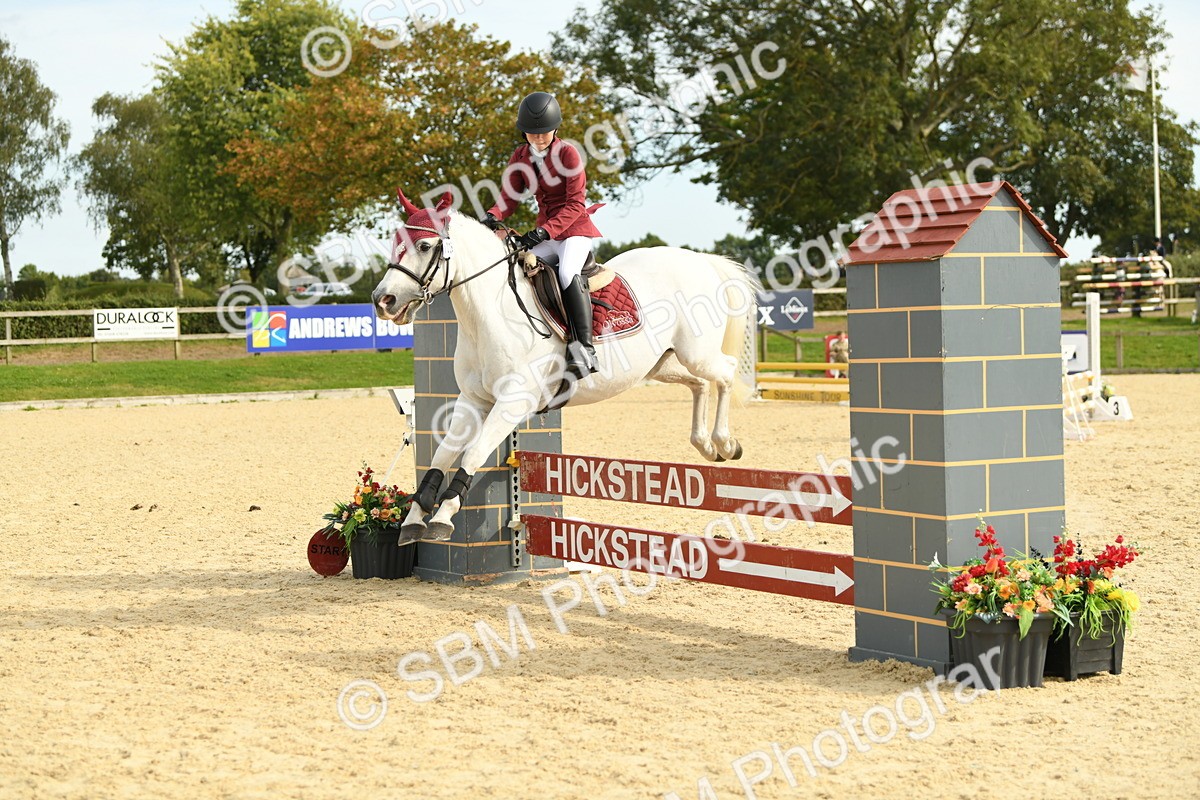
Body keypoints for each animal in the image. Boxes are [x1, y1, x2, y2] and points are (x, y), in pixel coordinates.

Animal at [372, 190, 759, 543]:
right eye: (395, 244)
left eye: (424, 246)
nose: (382, 300)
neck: (489, 315)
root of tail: (701, 260)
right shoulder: (473, 400)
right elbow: (443, 453)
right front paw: (414, 518)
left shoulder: (513, 403)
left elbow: (474, 451)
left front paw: (443, 516)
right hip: (660, 364)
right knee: (700, 384)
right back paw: (705, 445)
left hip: (697, 352)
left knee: (726, 372)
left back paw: (725, 442)